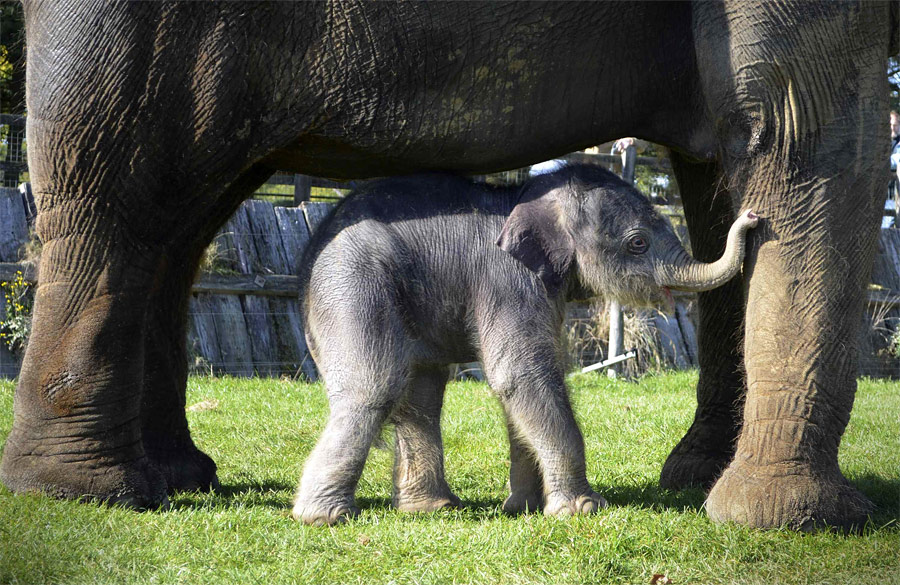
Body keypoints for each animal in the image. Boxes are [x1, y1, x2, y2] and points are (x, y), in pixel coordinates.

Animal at [292, 164, 756, 524]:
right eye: (637, 242)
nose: (751, 217)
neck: (527, 197)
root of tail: (308, 260)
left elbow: (520, 385)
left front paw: (525, 508)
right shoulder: (508, 280)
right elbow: (521, 374)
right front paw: (582, 509)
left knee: (421, 393)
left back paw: (432, 508)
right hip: (352, 283)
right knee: (374, 386)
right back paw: (324, 517)